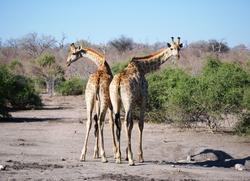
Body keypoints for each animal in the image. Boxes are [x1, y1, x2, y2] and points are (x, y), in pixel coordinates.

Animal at [110, 36, 183, 165]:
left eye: (179, 48)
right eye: (171, 48)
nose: (177, 56)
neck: (143, 68)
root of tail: (118, 81)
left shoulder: (134, 102)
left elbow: (132, 125)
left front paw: (125, 155)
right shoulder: (143, 99)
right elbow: (140, 124)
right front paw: (140, 156)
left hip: (116, 101)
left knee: (117, 122)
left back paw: (118, 157)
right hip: (127, 101)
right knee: (125, 122)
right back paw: (131, 160)